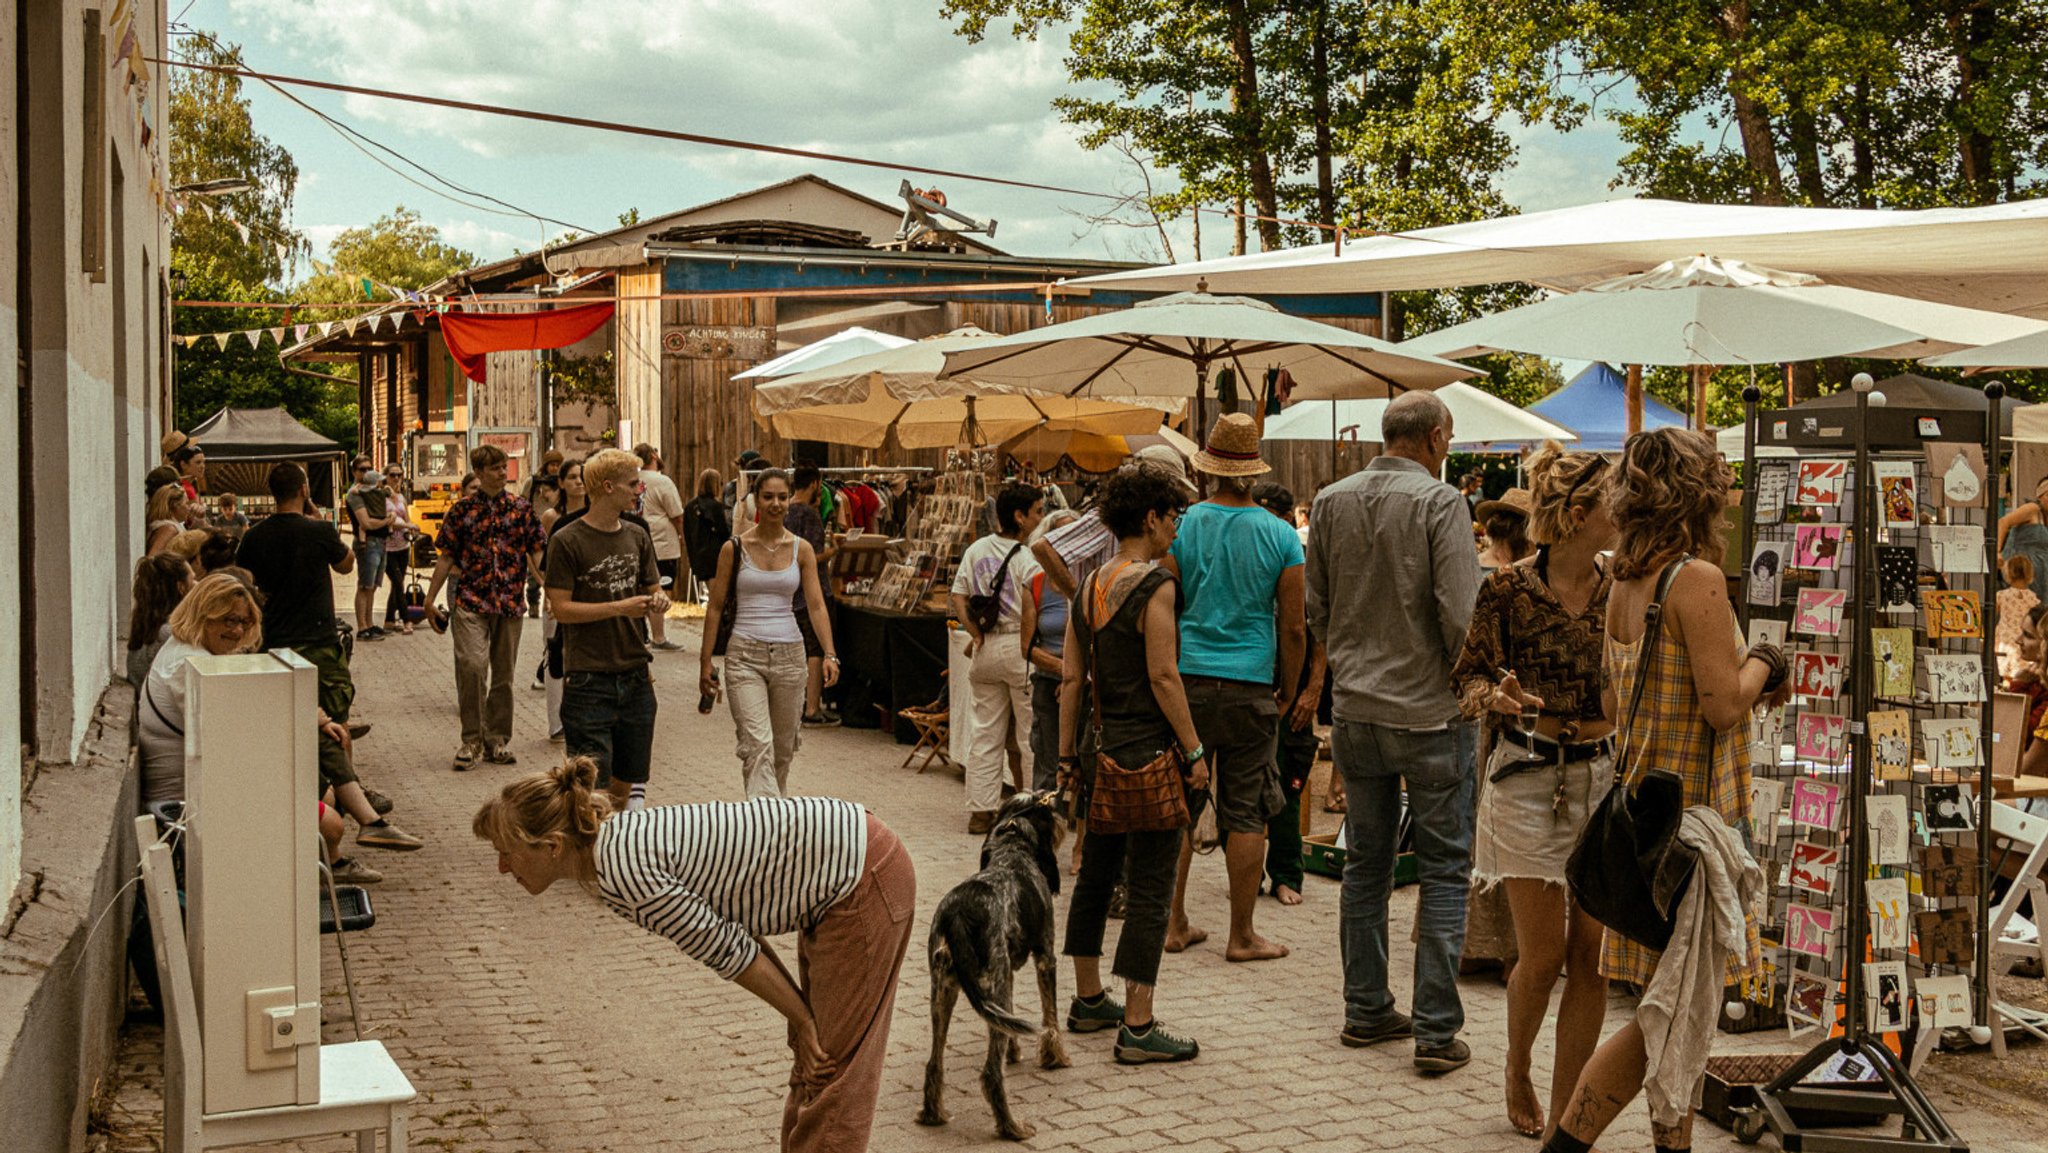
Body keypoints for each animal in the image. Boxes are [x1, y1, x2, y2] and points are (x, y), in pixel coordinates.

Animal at [917, 790, 1073, 1138]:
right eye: (1047, 808)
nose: (1063, 816)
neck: (1012, 852)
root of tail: (958, 914)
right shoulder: (1046, 957)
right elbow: (1051, 1018)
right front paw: (1055, 1057)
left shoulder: (1007, 977)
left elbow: (1011, 1019)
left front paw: (1015, 1051)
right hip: (988, 983)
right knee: (990, 1074)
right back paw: (1011, 1127)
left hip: (944, 991)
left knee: (934, 1062)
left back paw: (933, 1113)